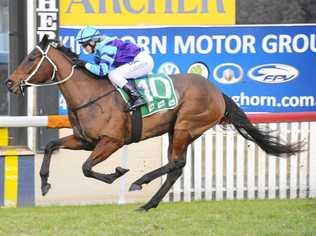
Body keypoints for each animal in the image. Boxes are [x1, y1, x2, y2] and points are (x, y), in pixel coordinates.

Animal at [4, 35, 302, 212]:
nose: (9, 82)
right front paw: (44, 184)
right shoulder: (84, 140)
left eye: (32, 58)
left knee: (175, 163)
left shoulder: (112, 141)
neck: (91, 96)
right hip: (176, 131)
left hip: (185, 127)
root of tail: (217, 91)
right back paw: (148, 204)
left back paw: (139, 182)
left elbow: (87, 168)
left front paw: (117, 173)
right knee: (176, 168)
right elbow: (52, 146)